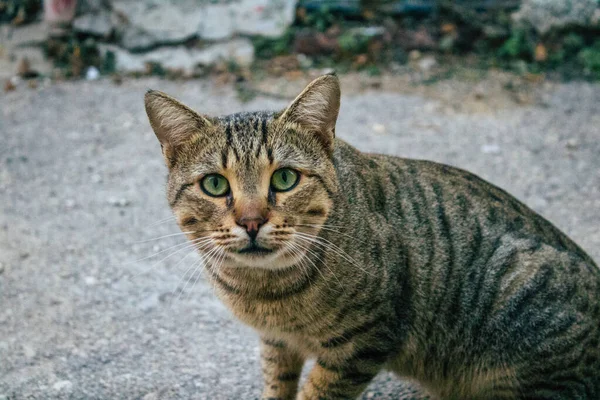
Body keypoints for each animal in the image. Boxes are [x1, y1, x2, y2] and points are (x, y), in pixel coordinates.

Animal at [145, 73, 600, 398]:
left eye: (286, 178)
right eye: (215, 185)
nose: (252, 221)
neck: (267, 293)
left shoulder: (361, 342)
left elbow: (318, 392)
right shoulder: (277, 343)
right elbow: (278, 384)